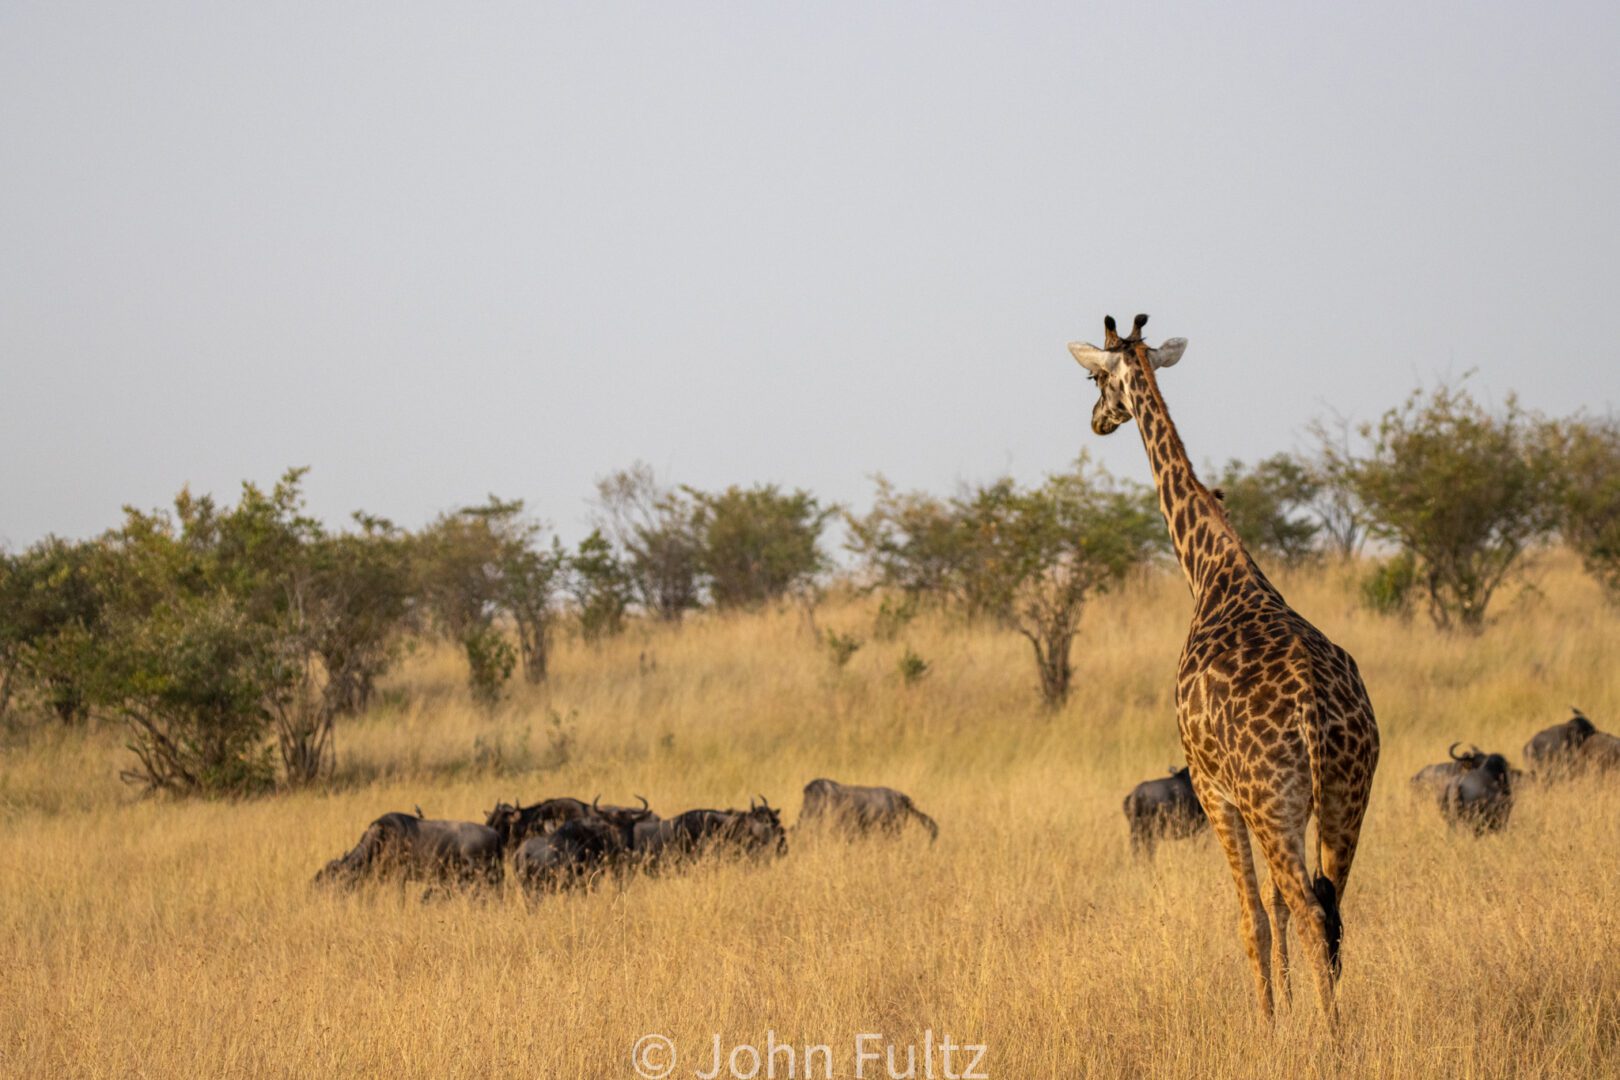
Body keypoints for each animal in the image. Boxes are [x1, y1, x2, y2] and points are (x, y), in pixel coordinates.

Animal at [1062, 317, 1380, 1029]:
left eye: (1094, 377)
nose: (1096, 422)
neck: (1212, 569)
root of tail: (1316, 716)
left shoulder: (1214, 790)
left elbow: (1252, 917)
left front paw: (1270, 1023)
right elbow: (1278, 909)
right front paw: (1285, 1009)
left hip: (1271, 800)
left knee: (1311, 912)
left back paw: (1334, 1038)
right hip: (1345, 795)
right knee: (1332, 910)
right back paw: (1333, 1023)